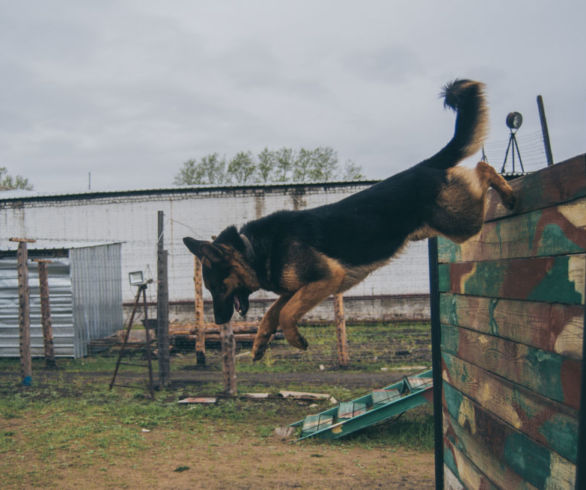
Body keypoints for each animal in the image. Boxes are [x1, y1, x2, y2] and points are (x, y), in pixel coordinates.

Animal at [181, 79, 512, 360]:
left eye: (215, 287)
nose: (218, 321)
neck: (253, 248)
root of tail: (423, 165)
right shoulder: (297, 289)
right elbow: (272, 311)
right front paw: (261, 341)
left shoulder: (327, 278)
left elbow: (286, 313)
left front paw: (295, 339)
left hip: (461, 222)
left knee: (482, 168)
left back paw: (508, 191)